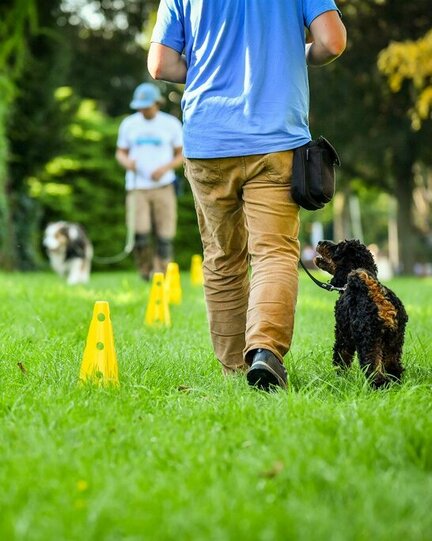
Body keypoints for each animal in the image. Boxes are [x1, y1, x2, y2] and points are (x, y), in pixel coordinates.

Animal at [314, 238, 408, 386]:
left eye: (338, 247)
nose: (319, 242)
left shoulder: (343, 335)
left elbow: (341, 358)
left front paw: (339, 378)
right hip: (394, 342)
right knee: (394, 369)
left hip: (368, 341)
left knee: (375, 372)